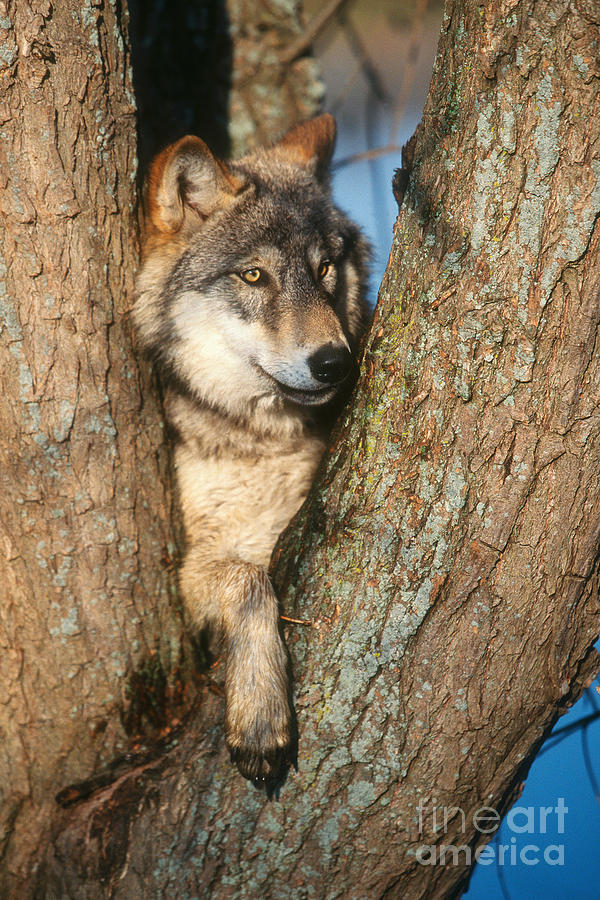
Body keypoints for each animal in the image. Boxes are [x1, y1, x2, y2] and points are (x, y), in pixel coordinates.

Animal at [134, 114, 369, 784]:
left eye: (324, 269)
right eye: (254, 275)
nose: (334, 363)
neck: (260, 444)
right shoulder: (189, 574)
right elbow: (247, 580)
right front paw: (261, 719)